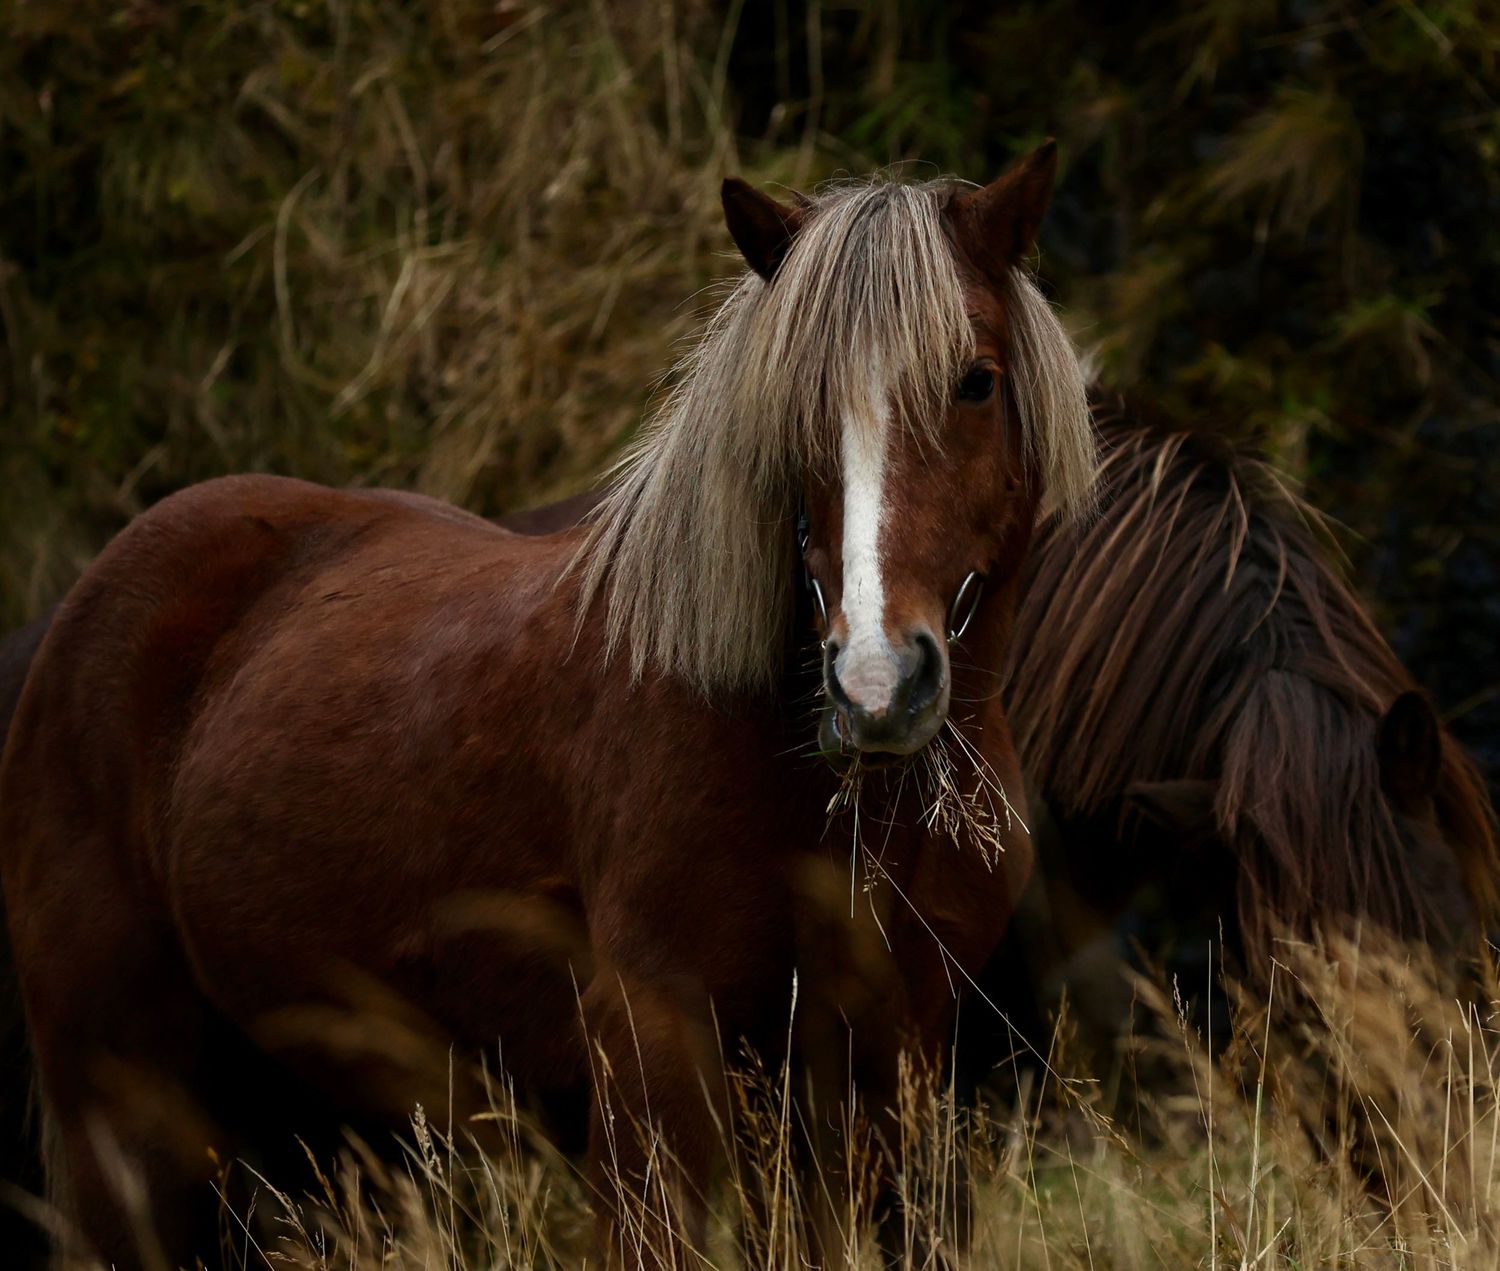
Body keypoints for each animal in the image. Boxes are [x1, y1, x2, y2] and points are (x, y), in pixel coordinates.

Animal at [0, 144, 1099, 1268]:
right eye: (792, 409)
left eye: (975, 382)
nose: (875, 685)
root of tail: (73, 617)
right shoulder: (659, 1062)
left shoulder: (901, 1074)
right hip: (130, 1116)